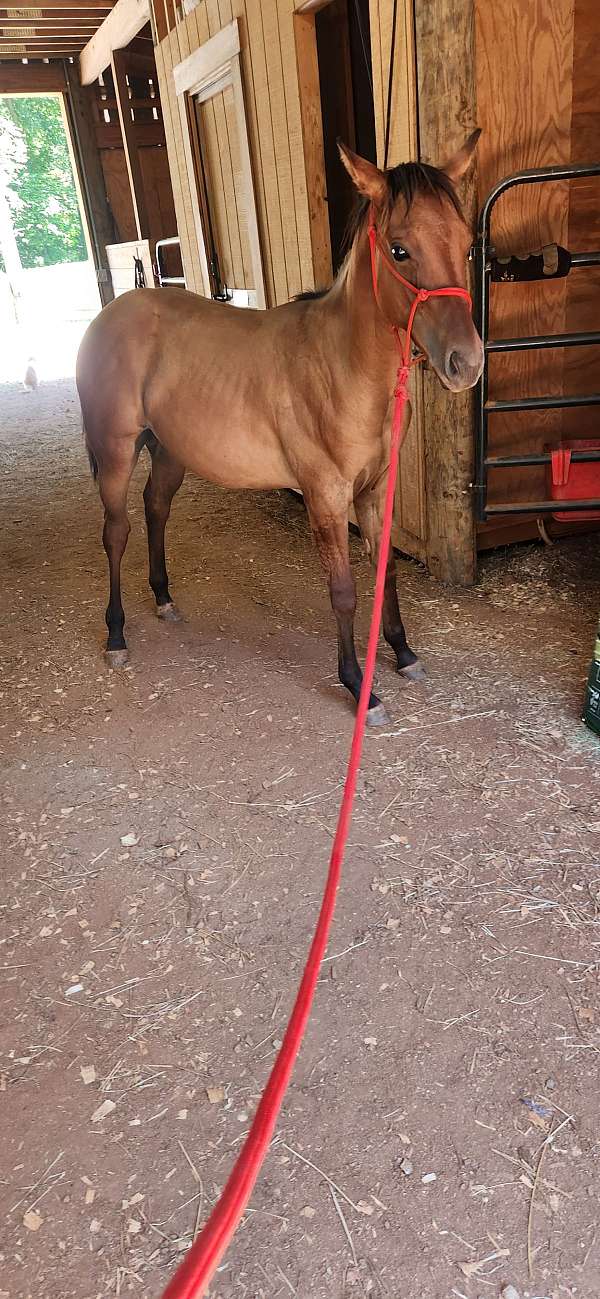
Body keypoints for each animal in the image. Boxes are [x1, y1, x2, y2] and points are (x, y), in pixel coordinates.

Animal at [77, 133, 484, 725]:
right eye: (399, 250)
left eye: (468, 244)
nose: (466, 362)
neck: (342, 367)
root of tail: (113, 314)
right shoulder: (326, 496)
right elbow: (343, 591)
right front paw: (358, 685)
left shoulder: (373, 490)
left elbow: (386, 572)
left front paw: (403, 653)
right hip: (115, 452)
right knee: (116, 531)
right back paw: (116, 636)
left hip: (172, 452)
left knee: (155, 509)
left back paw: (164, 598)